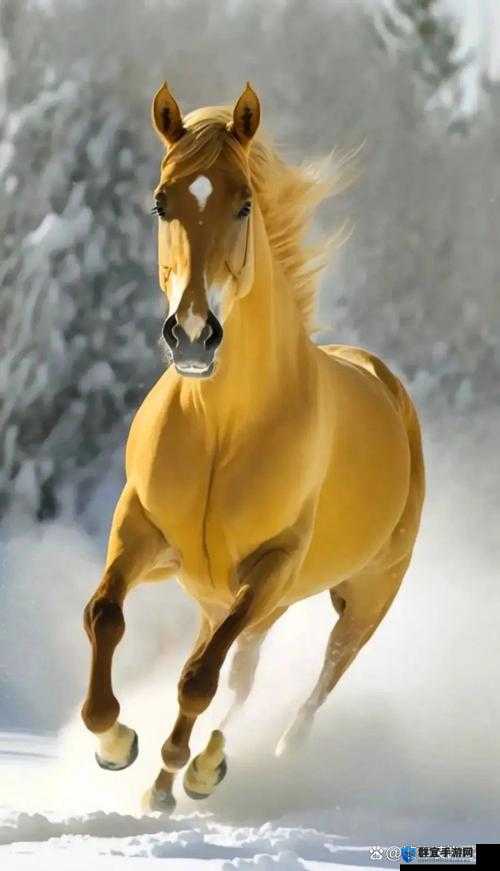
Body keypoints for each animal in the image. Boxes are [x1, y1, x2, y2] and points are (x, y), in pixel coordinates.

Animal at [81, 82, 425, 812]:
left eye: (242, 203)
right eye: (161, 200)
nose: (191, 335)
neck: (222, 427)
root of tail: (385, 382)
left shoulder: (269, 569)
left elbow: (197, 680)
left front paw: (174, 761)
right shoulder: (143, 531)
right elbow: (105, 615)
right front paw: (114, 741)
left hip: (357, 597)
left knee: (313, 676)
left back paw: (229, 761)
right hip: (226, 597)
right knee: (234, 673)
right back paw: (170, 779)